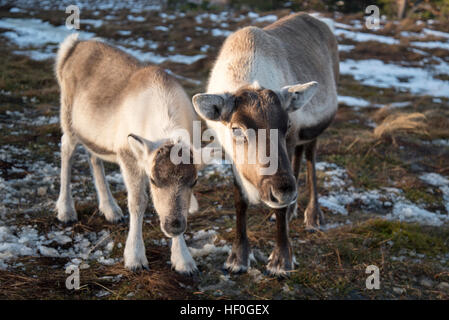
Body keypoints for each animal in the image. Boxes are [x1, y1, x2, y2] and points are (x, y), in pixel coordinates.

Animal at [54, 35, 200, 276]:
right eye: (153, 180)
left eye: (194, 181)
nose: (173, 225)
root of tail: (74, 46)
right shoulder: (127, 155)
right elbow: (137, 202)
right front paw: (135, 258)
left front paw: (184, 261)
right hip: (68, 118)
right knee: (66, 149)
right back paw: (66, 210)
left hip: (96, 135)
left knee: (94, 157)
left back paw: (110, 209)